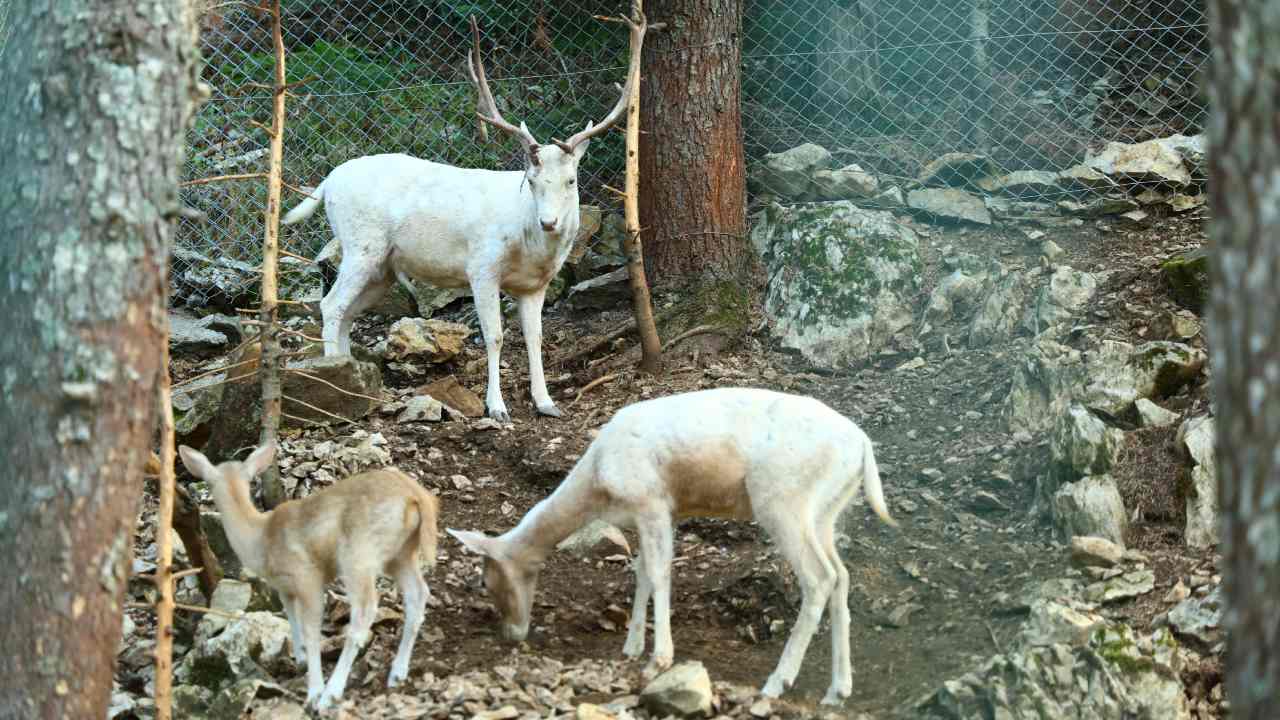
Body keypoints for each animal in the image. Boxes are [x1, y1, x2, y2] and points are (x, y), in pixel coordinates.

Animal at [177, 440, 440, 707]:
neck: (259, 540)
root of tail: (417, 496)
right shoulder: (284, 587)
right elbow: (291, 616)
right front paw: (300, 658)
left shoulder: (306, 576)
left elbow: (312, 630)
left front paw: (314, 691)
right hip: (402, 553)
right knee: (418, 594)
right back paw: (397, 673)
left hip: (359, 553)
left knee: (364, 612)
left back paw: (330, 694)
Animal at [279, 15, 650, 420]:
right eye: (531, 179)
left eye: (572, 180)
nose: (549, 222)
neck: (529, 247)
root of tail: (327, 182)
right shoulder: (481, 268)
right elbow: (495, 336)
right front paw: (497, 407)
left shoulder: (535, 285)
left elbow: (535, 337)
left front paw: (546, 402)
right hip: (361, 244)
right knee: (330, 305)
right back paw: (335, 382)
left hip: (383, 269)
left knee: (347, 313)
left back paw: (358, 386)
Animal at [450, 386, 901, 702]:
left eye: (485, 582)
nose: (511, 634)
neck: (598, 484)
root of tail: (863, 446)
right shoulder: (659, 513)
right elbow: (642, 573)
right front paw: (631, 647)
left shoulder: (651, 502)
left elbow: (659, 573)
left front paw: (660, 657)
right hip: (826, 511)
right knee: (842, 575)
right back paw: (837, 689)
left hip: (784, 500)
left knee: (819, 579)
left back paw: (777, 681)